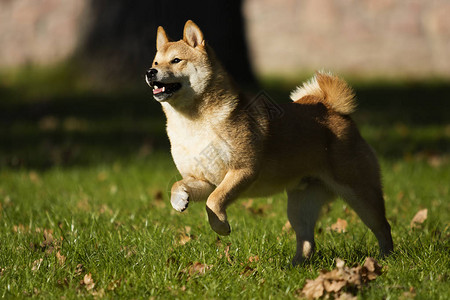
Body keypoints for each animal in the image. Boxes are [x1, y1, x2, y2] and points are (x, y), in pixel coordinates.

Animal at [146, 19, 392, 264]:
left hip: (360, 194)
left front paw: (221, 226)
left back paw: (385, 258)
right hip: (301, 205)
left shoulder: (243, 170)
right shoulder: (202, 179)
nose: (150, 72)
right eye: (156, 62)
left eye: (176, 60)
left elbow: (214, 201)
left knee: (383, 226)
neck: (193, 122)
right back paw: (295, 265)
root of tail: (334, 109)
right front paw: (179, 200)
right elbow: (180, 186)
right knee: (307, 241)